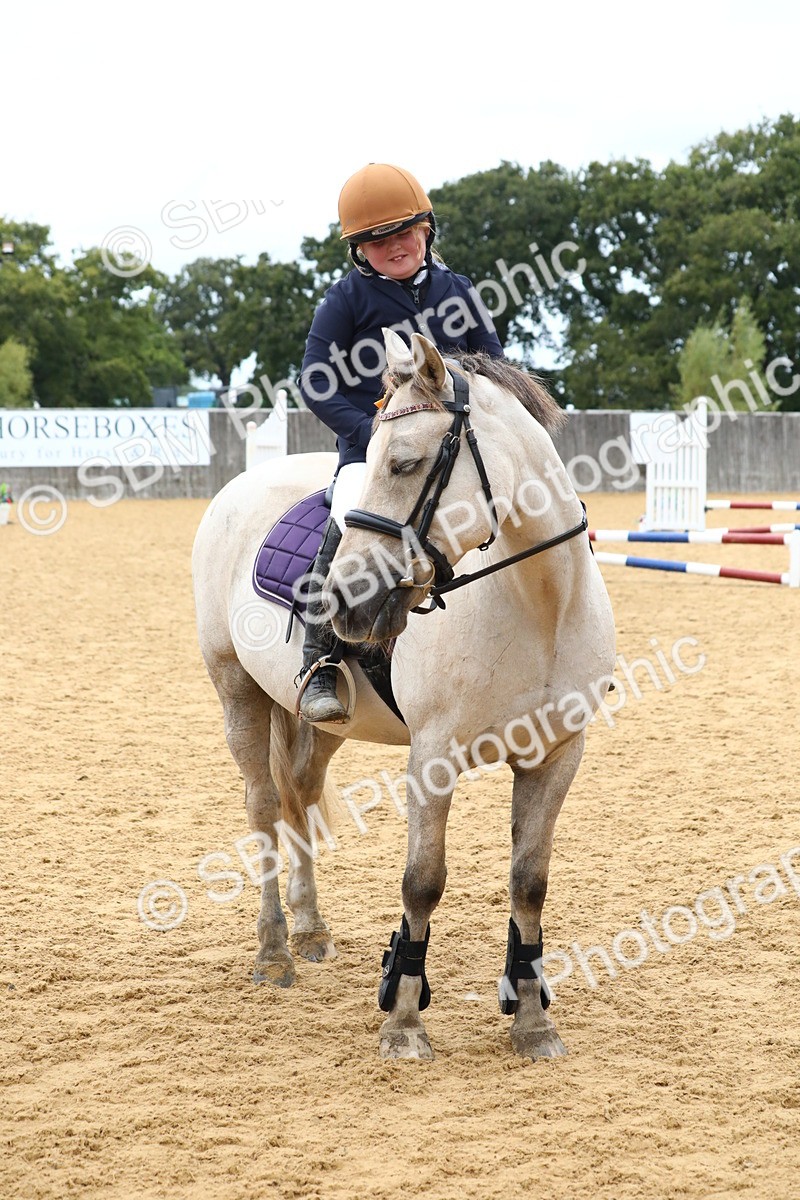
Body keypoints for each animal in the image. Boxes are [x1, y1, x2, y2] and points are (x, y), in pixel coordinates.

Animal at [191, 328, 616, 1061]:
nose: (344, 603)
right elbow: (423, 880)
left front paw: (533, 1020)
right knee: (264, 809)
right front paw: (404, 1020)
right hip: (236, 692)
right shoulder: (434, 758)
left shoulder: (558, 755)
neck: (541, 607)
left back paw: (310, 929)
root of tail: (239, 487)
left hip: (322, 726)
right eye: (380, 460)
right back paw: (274, 952)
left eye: (407, 463)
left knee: (301, 796)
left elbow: (529, 882)